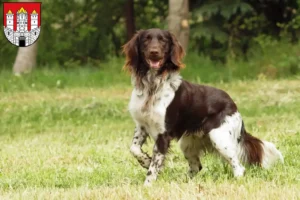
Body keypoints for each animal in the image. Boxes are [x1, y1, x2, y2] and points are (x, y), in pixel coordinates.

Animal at [122, 27, 284, 186]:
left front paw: (147, 186)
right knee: (196, 167)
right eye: (146, 40)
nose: (154, 52)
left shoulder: (163, 134)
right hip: (187, 143)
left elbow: (153, 168)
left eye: (163, 41)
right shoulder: (141, 125)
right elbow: (134, 149)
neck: (152, 87)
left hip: (219, 138)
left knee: (238, 167)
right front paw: (146, 161)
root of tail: (234, 105)